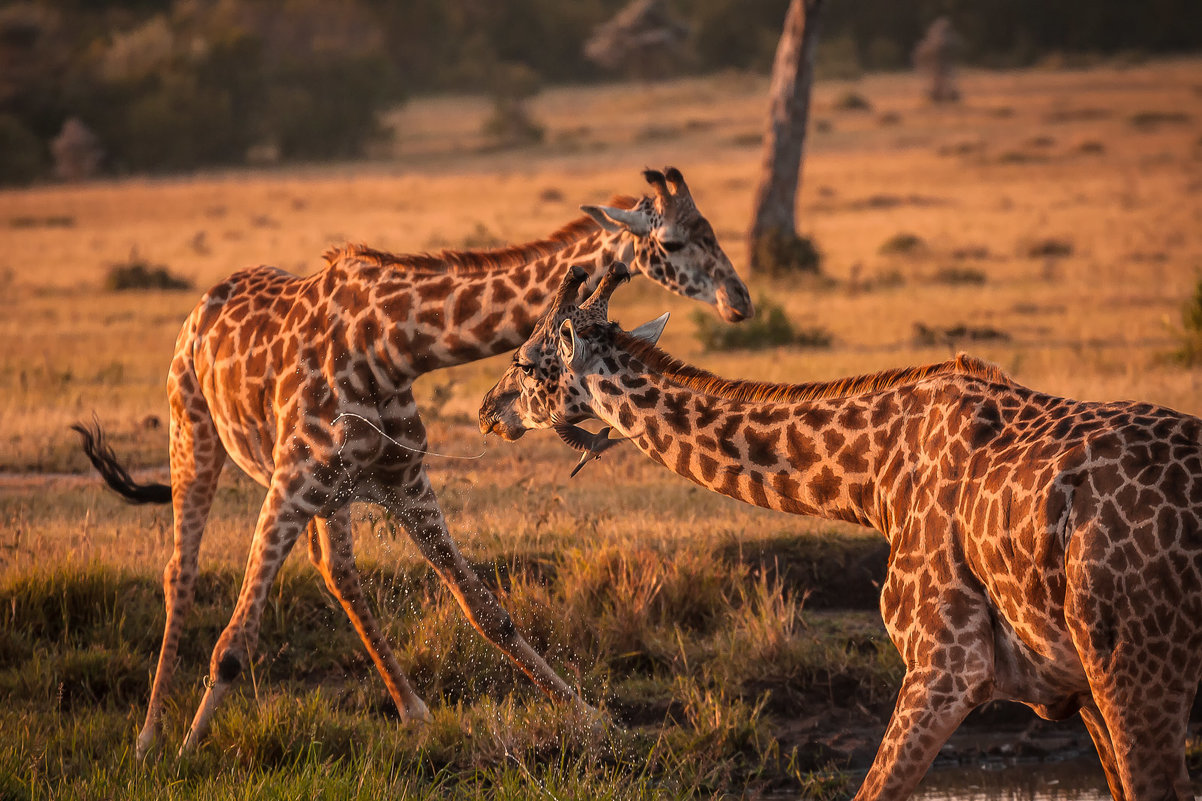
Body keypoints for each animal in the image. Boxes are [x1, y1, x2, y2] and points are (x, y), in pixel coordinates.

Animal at [72, 167, 750, 755]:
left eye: (711, 228)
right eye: (675, 240)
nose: (739, 300)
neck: (391, 346)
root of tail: (201, 306)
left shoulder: (405, 483)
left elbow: (490, 614)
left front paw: (594, 719)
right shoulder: (289, 486)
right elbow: (234, 644)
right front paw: (187, 754)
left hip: (327, 493)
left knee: (337, 570)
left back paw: (414, 711)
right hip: (194, 435)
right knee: (180, 573)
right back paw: (150, 737)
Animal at [475, 264, 1202, 798]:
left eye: (528, 360)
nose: (487, 410)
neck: (875, 480)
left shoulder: (947, 662)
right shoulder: (1071, 687)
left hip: (1140, 668)